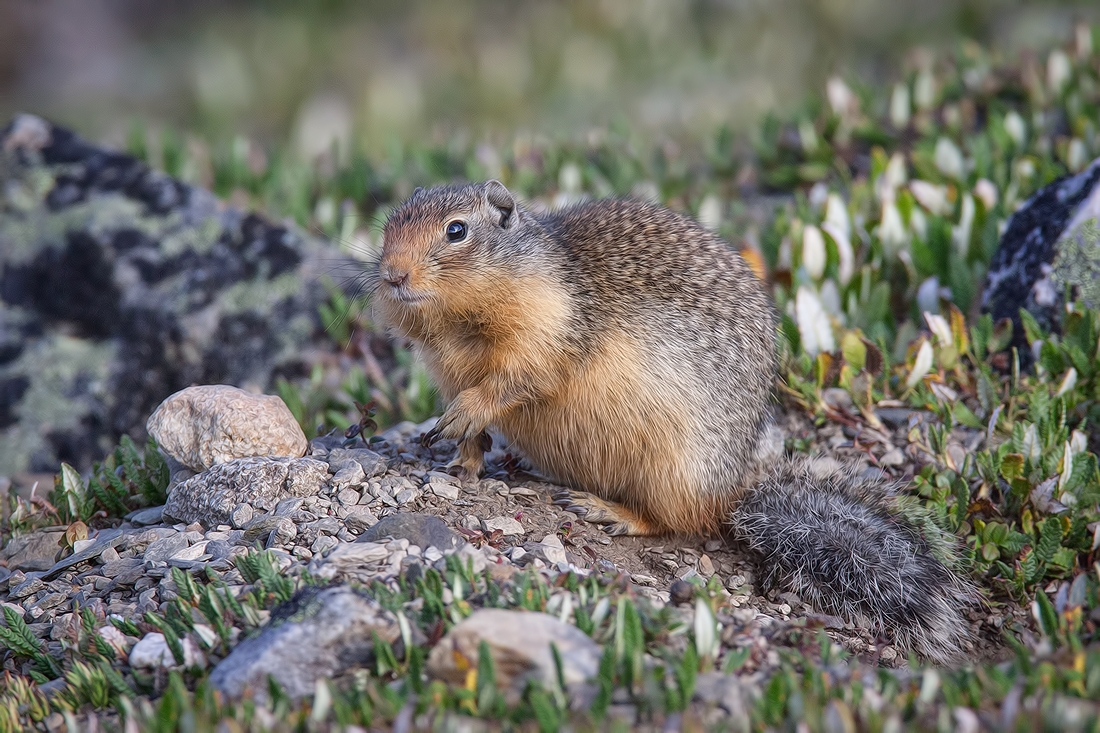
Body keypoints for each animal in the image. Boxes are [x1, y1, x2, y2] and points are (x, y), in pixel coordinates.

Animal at [374, 178, 976, 660]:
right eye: (388, 224)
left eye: (456, 231)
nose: (392, 275)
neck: (458, 322)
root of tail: (736, 492)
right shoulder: (446, 367)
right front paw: (463, 459)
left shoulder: (546, 327)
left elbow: (514, 380)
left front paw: (463, 420)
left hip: (670, 467)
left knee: (675, 520)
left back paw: (607, 510)